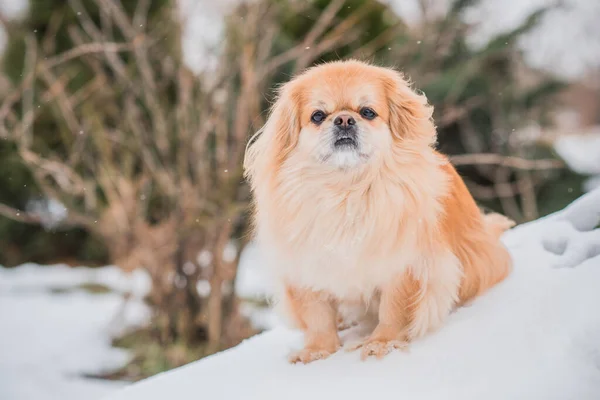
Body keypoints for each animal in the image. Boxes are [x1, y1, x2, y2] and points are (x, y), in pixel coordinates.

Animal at [244, 59, 516, 362]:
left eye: (367, 112)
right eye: (318, 116)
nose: (344, 119)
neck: (345, 191)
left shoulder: (405, 267)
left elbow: (394, 309)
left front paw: (382, 342)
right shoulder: (305, 269)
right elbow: (317, 316)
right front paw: (317, 351)